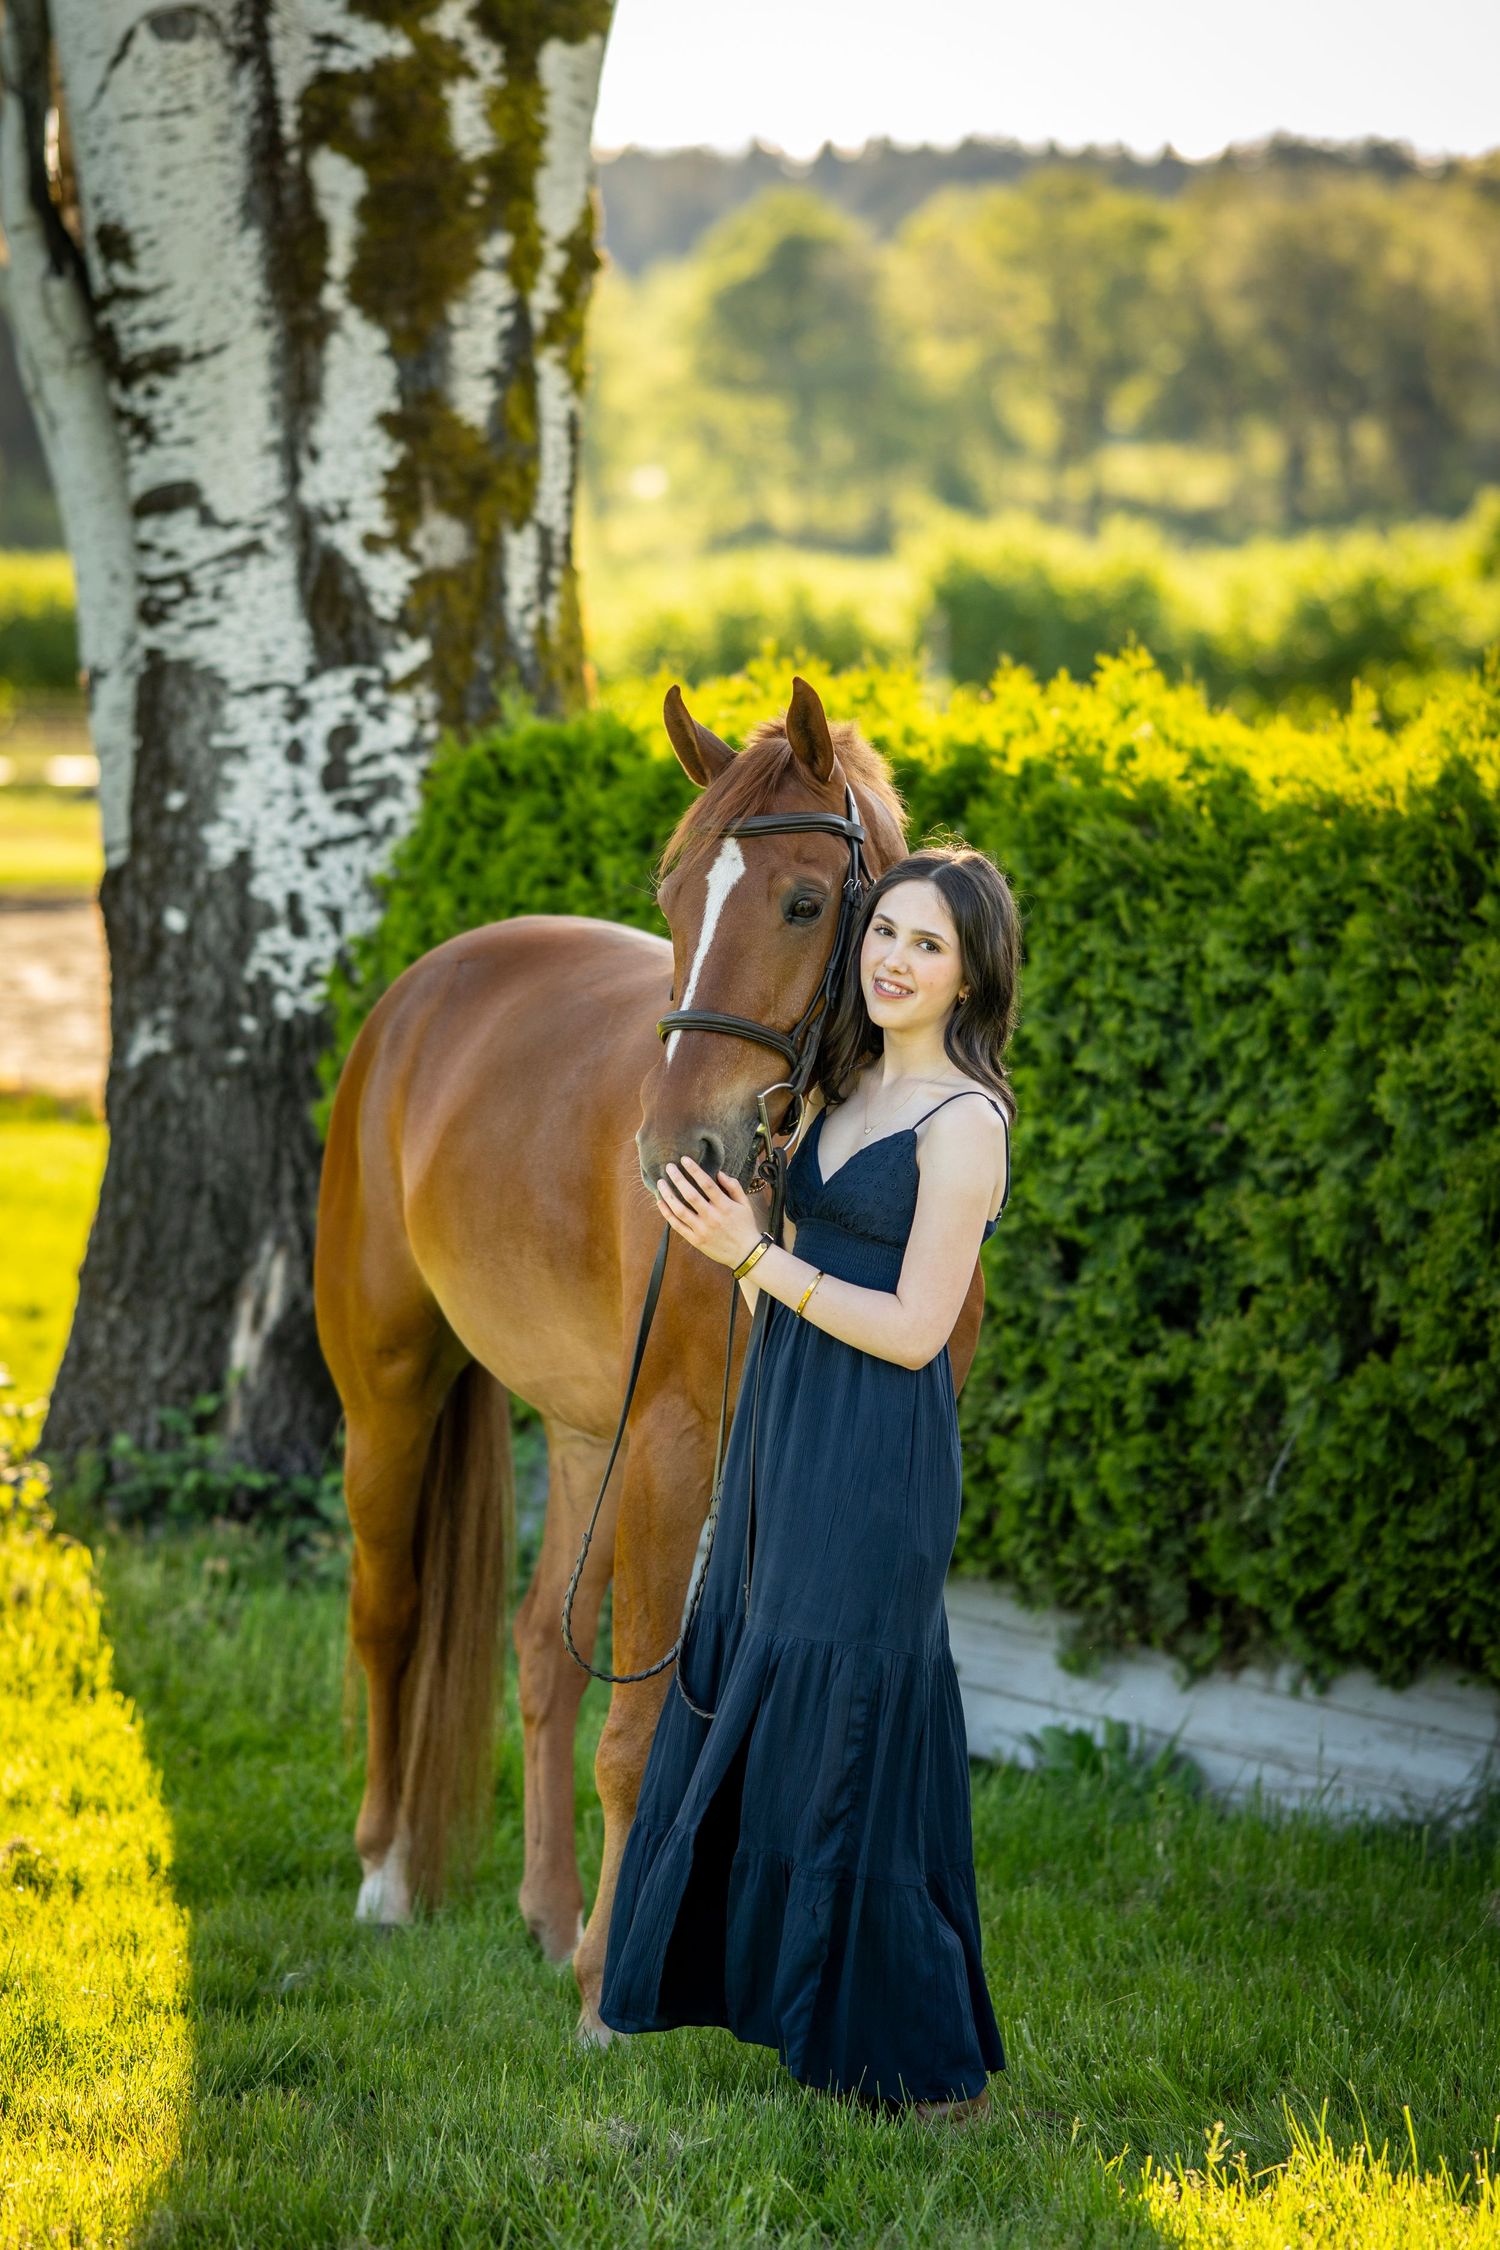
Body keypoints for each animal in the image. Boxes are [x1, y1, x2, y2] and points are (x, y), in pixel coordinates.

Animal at [312, 673, 996, 2040]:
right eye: (674, 899)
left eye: (803, 902)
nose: (681, 1149)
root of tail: (424, 986)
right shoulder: (679, 1444)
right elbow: (634, 1733)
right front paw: (604, 1994)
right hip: (394, 1396)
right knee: (390, 1616)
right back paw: (388, 1875)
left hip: (590, 1432)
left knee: (536, 1646)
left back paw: (542, 1910)